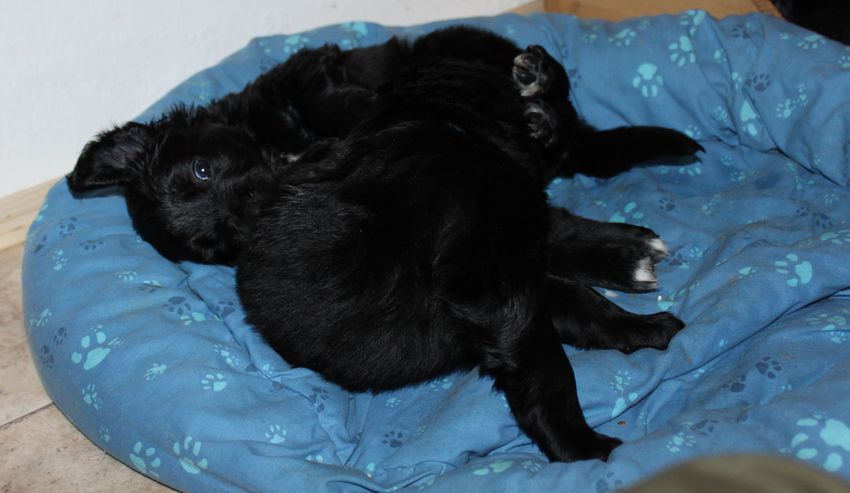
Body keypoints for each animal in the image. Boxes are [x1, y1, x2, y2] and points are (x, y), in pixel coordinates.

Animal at [67, 27, 701, 462]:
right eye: (218, 236)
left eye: (202, 169)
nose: (259, 202)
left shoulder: (306, 78)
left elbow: (326, 92)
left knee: (565, 145)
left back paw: (541, 91)